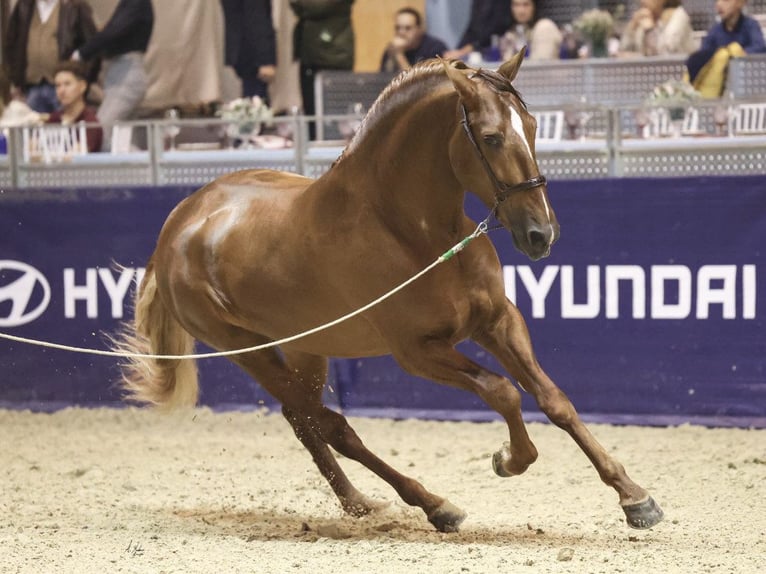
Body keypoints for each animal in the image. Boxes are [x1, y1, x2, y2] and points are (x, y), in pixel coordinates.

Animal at [117, 55, 664, 536]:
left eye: (531, 127)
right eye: (491, 137)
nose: (540, 235)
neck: (416, 233)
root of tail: (178, 225)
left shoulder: (498, 321)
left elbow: (555, 400)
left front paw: (634, 497)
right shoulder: (417, 352)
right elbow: (503, 392)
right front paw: (509, 460)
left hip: (304, 346)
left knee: (304, 421)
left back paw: (360, 504)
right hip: (245, 350)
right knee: (329, 424)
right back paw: (433, 505)